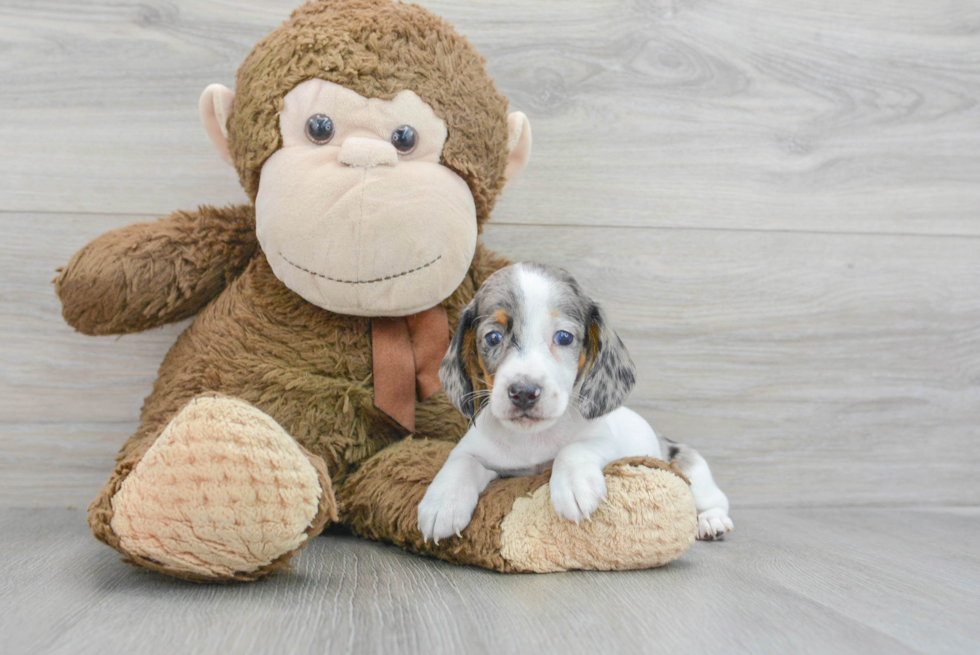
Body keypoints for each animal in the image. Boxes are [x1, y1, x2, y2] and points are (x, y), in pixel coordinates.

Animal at [418, 262, 732, 544]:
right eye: (493, 337)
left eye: (564, 337)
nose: (523, 392)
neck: (531, 440)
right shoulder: (477, 453)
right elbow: (460, 462)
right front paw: (442, 501)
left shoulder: (605, 443)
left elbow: (572, 449)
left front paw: (573, 485)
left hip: (694, 471)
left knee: (716, 500)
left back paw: (711, 521)